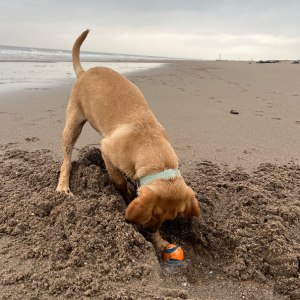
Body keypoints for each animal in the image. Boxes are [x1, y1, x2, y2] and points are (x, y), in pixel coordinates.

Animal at [56, 29, 202, 252]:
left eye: (169, 219)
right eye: (154, 213)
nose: (150, 231)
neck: (151, 147)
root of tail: (84, 72)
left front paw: (159, 240)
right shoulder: (107, 150)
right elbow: (120, 182)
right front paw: (126, 200)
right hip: (73, 122)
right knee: (66, 158)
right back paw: (63, 185)